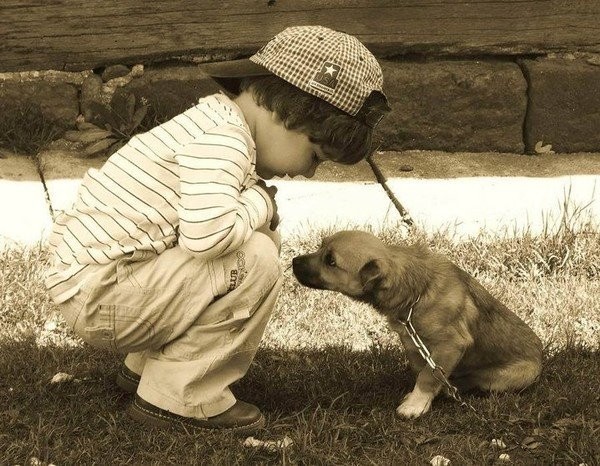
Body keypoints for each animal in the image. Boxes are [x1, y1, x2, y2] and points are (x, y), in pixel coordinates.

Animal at [292, 231, 548, 416]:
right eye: (321, 245)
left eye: (330, 261)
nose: (293, 261)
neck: (418, 290)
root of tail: (540, 356)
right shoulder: (412, 342)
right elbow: (421, 370)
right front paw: (419, 396)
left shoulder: (450, 345)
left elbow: (428, 376)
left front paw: (415, 405)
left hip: (508, 376)